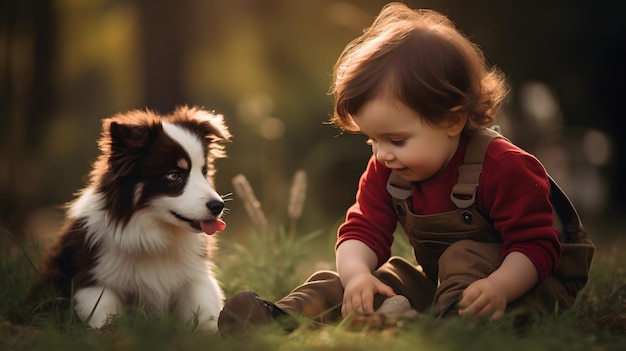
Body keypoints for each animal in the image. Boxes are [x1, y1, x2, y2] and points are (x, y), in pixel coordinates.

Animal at [29, 106, 232, 332]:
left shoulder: (196, 278)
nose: (218, 206)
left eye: (204, 171)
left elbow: (206, 313)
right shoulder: (94, 280)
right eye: (174, 175)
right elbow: (105, 317)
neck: (155, 234)